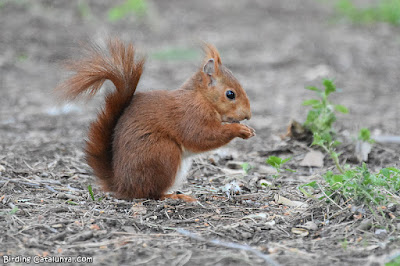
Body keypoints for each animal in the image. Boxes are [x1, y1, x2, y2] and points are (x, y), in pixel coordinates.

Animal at [57, 38, 255, 202]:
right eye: (230, 94)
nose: (248, 115)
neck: (201, 97)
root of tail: (121, 184)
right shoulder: (190, 114)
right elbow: (201, 136)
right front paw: (240, 130)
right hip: (163, 153)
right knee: (150, 193)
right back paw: (175, 197)